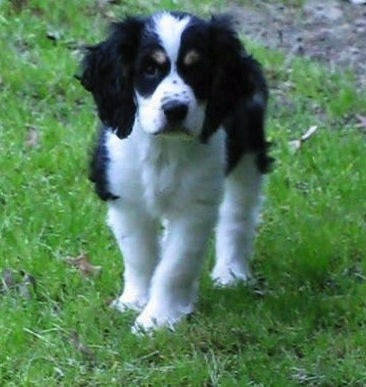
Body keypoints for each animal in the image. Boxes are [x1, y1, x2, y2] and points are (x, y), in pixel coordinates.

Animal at [78, 11, 272, 334]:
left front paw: (158, 318)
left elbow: (176, 264)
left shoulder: (195, 207)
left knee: (238, 213)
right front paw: (135, 300)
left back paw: (231, 271)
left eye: (197, 69)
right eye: (149, 69)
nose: (175, 110)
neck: (163, 149)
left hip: (249, 152)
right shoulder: (125, 198)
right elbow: (140, 254)